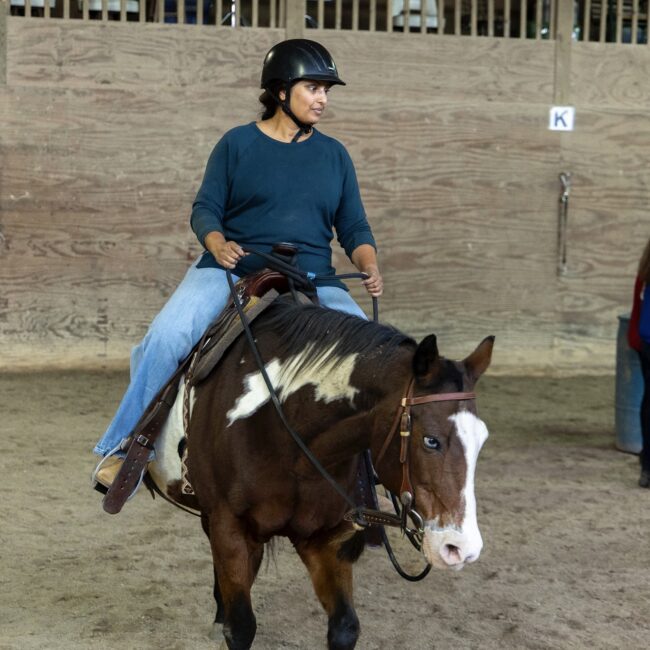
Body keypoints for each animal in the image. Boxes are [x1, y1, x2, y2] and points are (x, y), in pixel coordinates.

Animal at [148, 296, 494, 650]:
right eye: (431, 440)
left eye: (482, 440)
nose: (462, 548)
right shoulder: (230, 527)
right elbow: (241, 627)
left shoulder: (325, 539)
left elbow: (344, 627)